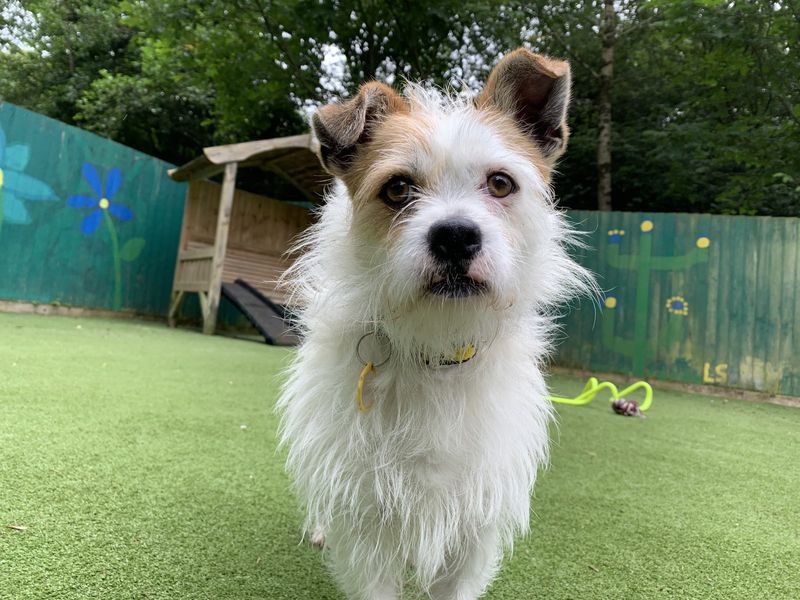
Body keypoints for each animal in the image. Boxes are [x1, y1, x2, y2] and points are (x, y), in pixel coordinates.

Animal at [278, 49, 592, 596]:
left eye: (501, 183)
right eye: (398, 188)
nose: (455, 236)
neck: (437, 350)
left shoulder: (475, 525)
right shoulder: (367, 522)